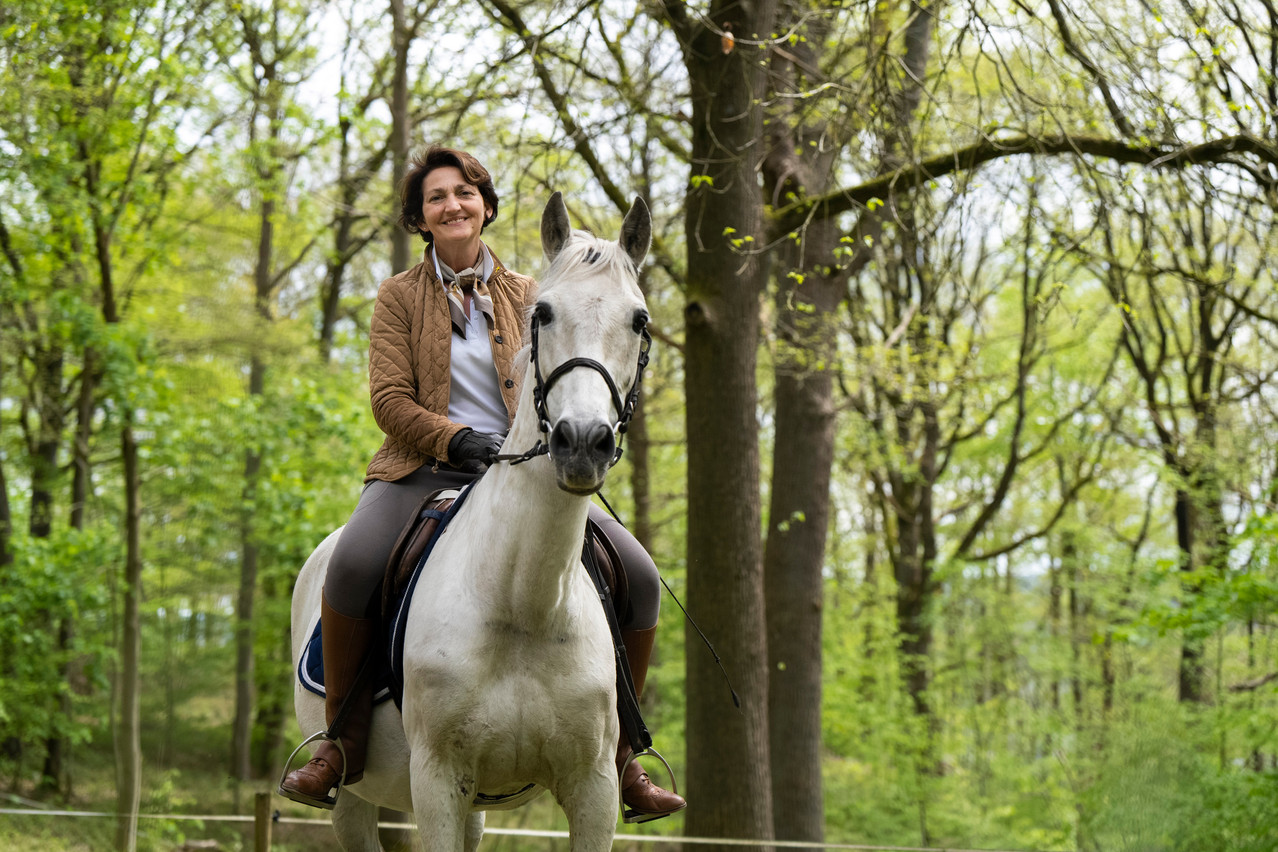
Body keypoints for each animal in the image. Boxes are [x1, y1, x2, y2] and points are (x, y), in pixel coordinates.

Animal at [286, 191, 654, 852]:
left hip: (479, 808)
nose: (581, 443)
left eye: (638, 320)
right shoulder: (438, 783)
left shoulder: (593, 790)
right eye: (543, 313)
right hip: (356, 796)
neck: (523, 602)